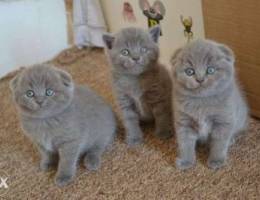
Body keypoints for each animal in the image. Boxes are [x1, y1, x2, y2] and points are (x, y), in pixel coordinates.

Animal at [171, 39, 248, 170]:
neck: (201, 103)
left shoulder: (224, 120)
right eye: (189, 71)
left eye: (210, 70)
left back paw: (231, 140)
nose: (200, 79)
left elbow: (219, 143)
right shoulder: (183, 121)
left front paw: (216, 161)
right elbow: (185, 143)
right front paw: (186, 161)